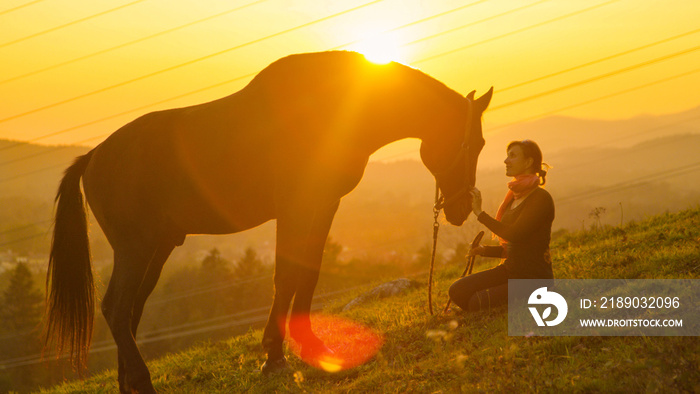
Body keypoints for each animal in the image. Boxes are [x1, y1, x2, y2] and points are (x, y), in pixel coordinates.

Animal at [45, 50, 492, 392]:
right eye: (475, 142)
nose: (460, 210)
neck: (332, 107)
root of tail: (94, 157)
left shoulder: (324, 206)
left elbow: (307, 274)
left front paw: (310, 346)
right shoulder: (295, 209)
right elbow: (285, 276)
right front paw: (274, 355)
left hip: (156, 249)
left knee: (129, 312)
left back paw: (129, 382)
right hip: (135, 249)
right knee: (117, 309)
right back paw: (142, 380)